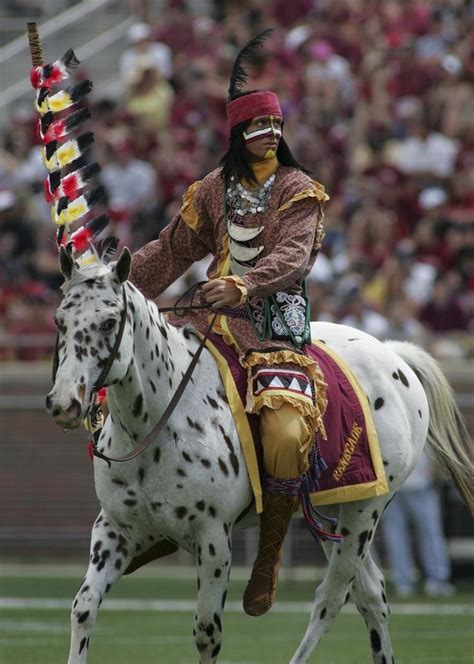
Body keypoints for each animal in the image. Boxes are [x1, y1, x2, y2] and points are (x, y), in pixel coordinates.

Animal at [45, 245, 474, 664]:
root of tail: (394, 356)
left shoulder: (213, 538)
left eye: (108, 322)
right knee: (371, 594)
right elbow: (83, 608)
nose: (64, 403)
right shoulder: (113, 531)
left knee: (331, 598)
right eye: (59, 320)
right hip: (333, 512)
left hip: (365, 511)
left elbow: (207, 632)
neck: (160, 424)